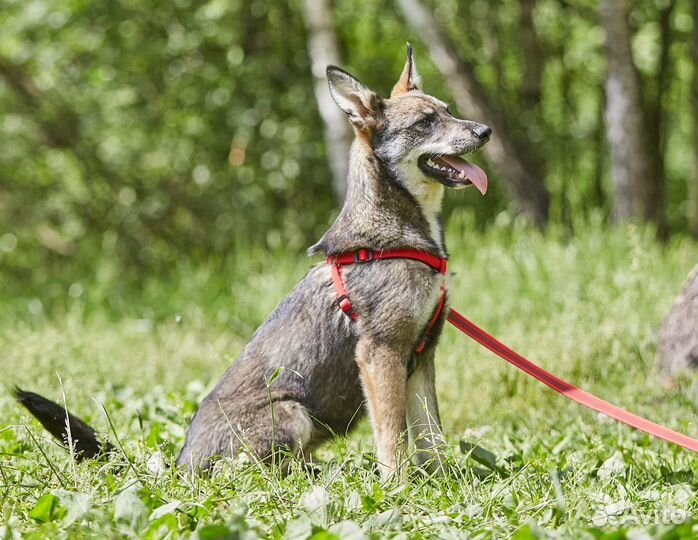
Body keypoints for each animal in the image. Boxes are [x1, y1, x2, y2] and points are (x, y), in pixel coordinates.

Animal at [14, 44, 490, 478]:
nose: (485, 130)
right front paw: (397, 489)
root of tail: (180, 465)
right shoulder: (381, 354)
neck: (394, 234)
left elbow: (431, 436)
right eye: (425, 122)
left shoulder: (420, 358)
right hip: (291, 412)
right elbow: (393, 438)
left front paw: (440, 484)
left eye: (448, 110)